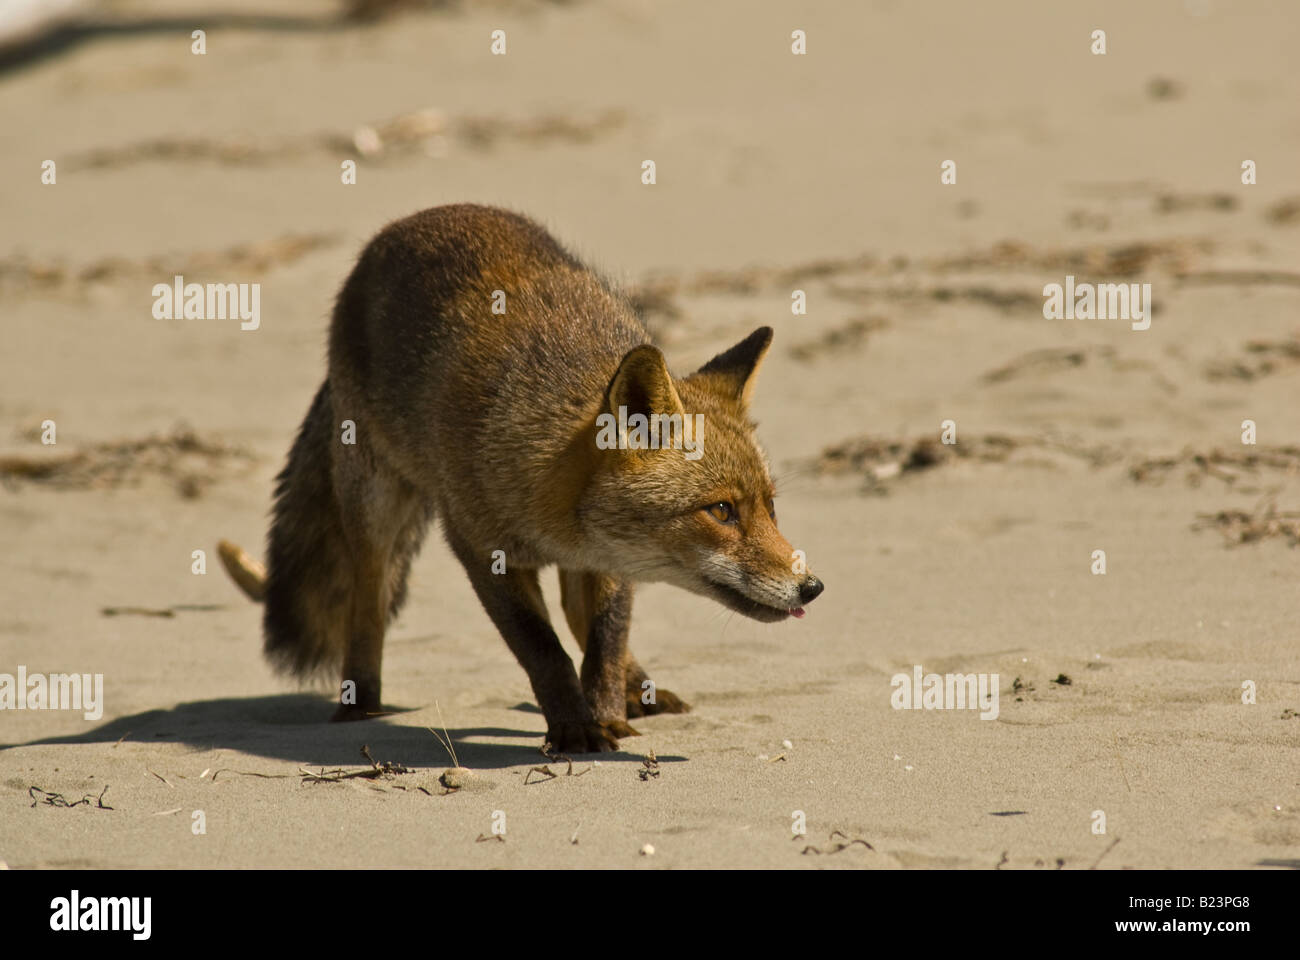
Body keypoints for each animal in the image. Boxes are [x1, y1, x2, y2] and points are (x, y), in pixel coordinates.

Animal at [214, 205, 821, 749]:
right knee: (366, 606)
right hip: (374, 508)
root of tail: (407, 224)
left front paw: (607, 716)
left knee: (585, 623)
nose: (811, 587)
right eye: (721, 510)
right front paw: (576, 730)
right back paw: (360, 705)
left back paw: (636, 691)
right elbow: (543, 650)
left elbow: (604, 641)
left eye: (770, 507)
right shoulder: (483, 551)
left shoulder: (607, 561)